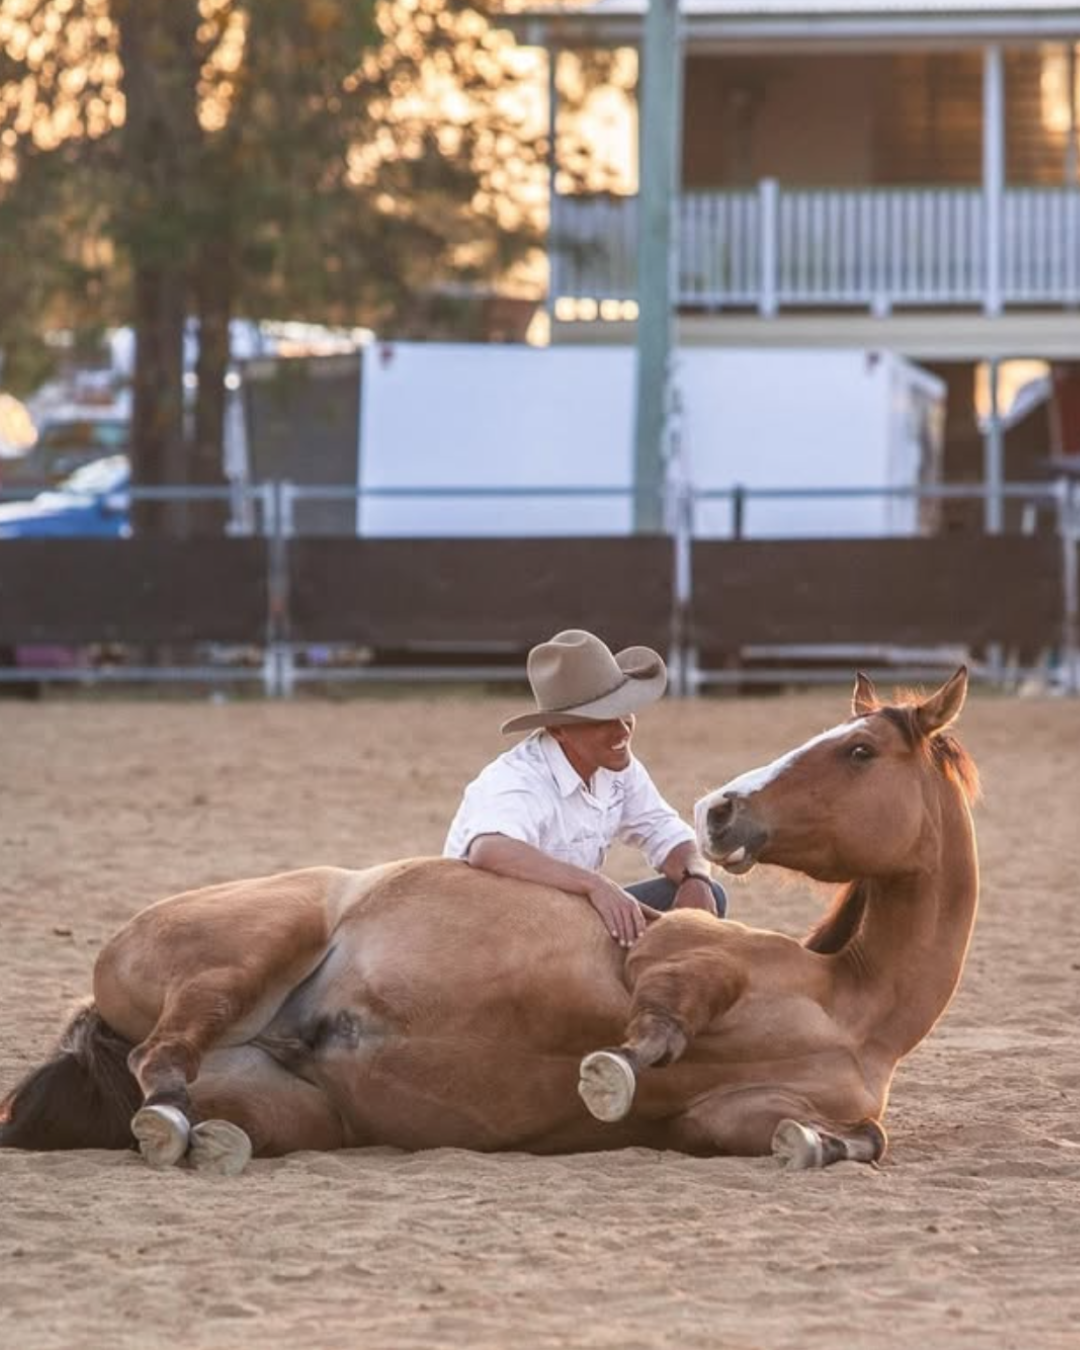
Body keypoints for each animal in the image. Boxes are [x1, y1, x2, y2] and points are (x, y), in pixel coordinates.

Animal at [0, 667, 978, 1175]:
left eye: (858, 750)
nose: (719, 810)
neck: (848, 1007)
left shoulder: (722, 1120)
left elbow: (853, 1138)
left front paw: (808, 1145)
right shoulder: (676, 957)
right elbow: (665, 1014)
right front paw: (615, 1070)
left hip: (296, 1111)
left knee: (195, 1099)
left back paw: (204, 1135)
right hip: (255, 943)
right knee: (162, 1055)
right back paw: (172, 1119)